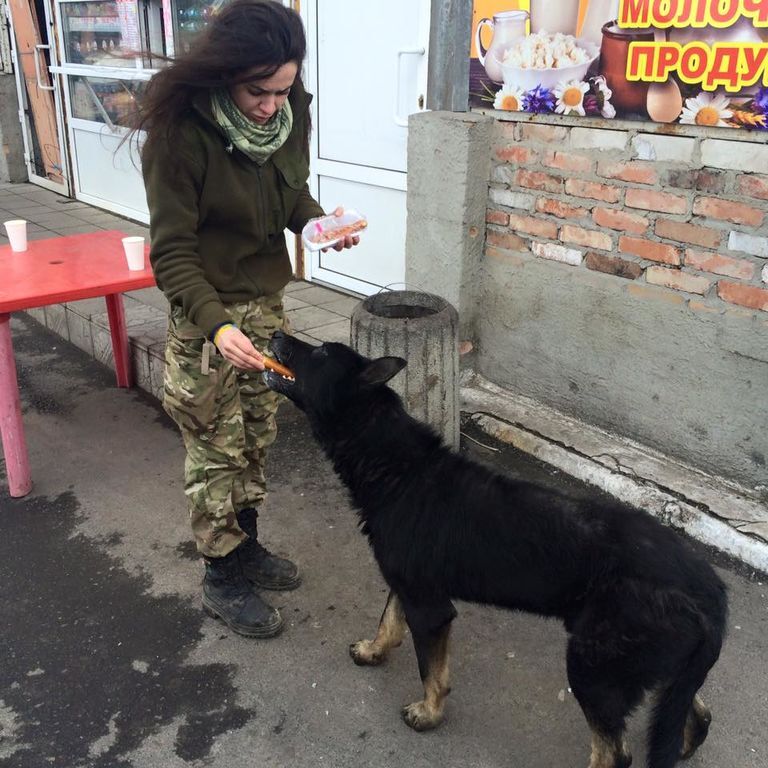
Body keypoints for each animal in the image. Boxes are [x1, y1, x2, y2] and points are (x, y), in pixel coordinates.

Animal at [264, 332, 728, 768]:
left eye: (321, 353)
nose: (274, 336)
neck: (398, 467)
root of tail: (710, 590)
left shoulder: (430, 608)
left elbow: (430, 671)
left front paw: (429, 713)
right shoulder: (408, 586)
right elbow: (388, 622)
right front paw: (374, 650)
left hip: (592, 669)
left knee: (616, 753)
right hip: (648, 669)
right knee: (695, 712)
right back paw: (684, 745)